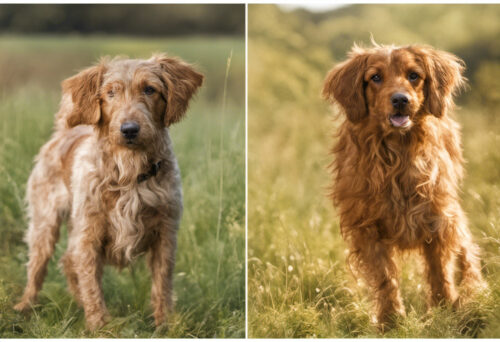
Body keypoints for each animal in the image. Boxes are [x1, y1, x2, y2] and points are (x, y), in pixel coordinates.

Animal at [14, 54, 204, 330]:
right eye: (111, 93)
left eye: (150, 89)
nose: (129, 129)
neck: (129, 173)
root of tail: (64, 132)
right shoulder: (89, 234)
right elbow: (92, 284)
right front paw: (100, 327)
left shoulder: (165, 234)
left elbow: (162, 284)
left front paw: (165, 324)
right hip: (45, 224)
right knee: (39, 268)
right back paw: (25, 306)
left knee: (68, 261)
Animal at [322, 44, 486, 328]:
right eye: (375, 77)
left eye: (414, 75)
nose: (400, 100)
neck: (398, 154)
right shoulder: (367, 227)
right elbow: (385, 277)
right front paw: (391, 321)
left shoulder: (438, 219)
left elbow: (440, 271)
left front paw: (445, 311)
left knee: (467, 252)